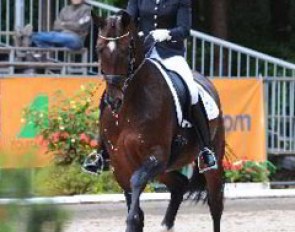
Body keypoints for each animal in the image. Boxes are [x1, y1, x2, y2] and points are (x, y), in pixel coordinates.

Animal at [93, 10, 225, 232]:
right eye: (99, 49)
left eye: (126, 51)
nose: (113, 100)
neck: (129, 107)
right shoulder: (119, 163)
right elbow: (133, 202)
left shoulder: (156, 155)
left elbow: (136, 183)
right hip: (165, 168)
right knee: (179, 184)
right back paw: (166, 224)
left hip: (210, 156)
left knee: (215, 203)